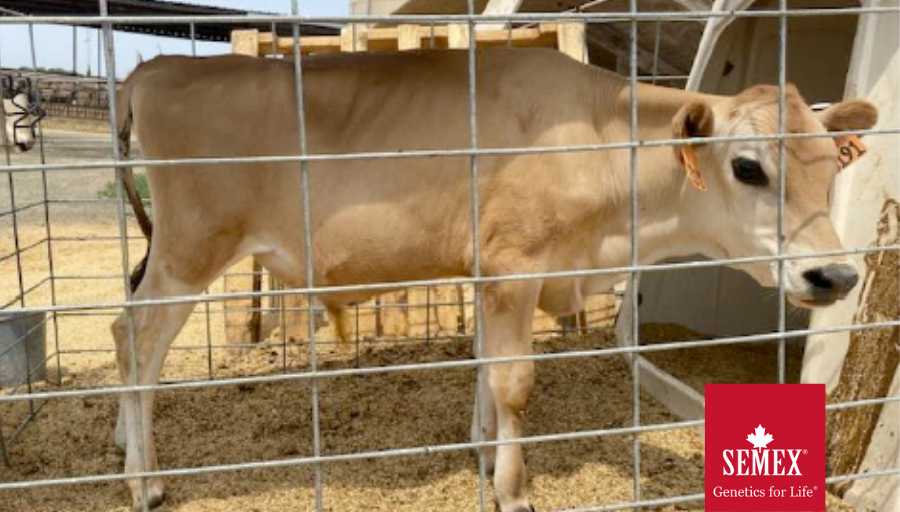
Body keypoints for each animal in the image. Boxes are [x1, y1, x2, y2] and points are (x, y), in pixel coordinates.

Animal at [112, 48, 876, 511]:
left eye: (834, 165)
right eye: (748, 167)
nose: (836, 273)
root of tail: (154, 67)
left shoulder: (489, 271)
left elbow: (484, 363)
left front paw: (481, 451)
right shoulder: (516, 264)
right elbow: (515, 383)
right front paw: (512, 488)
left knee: (125, 328)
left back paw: (124, 445)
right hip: (190, 249)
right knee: (138, 341)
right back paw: (144, 481)